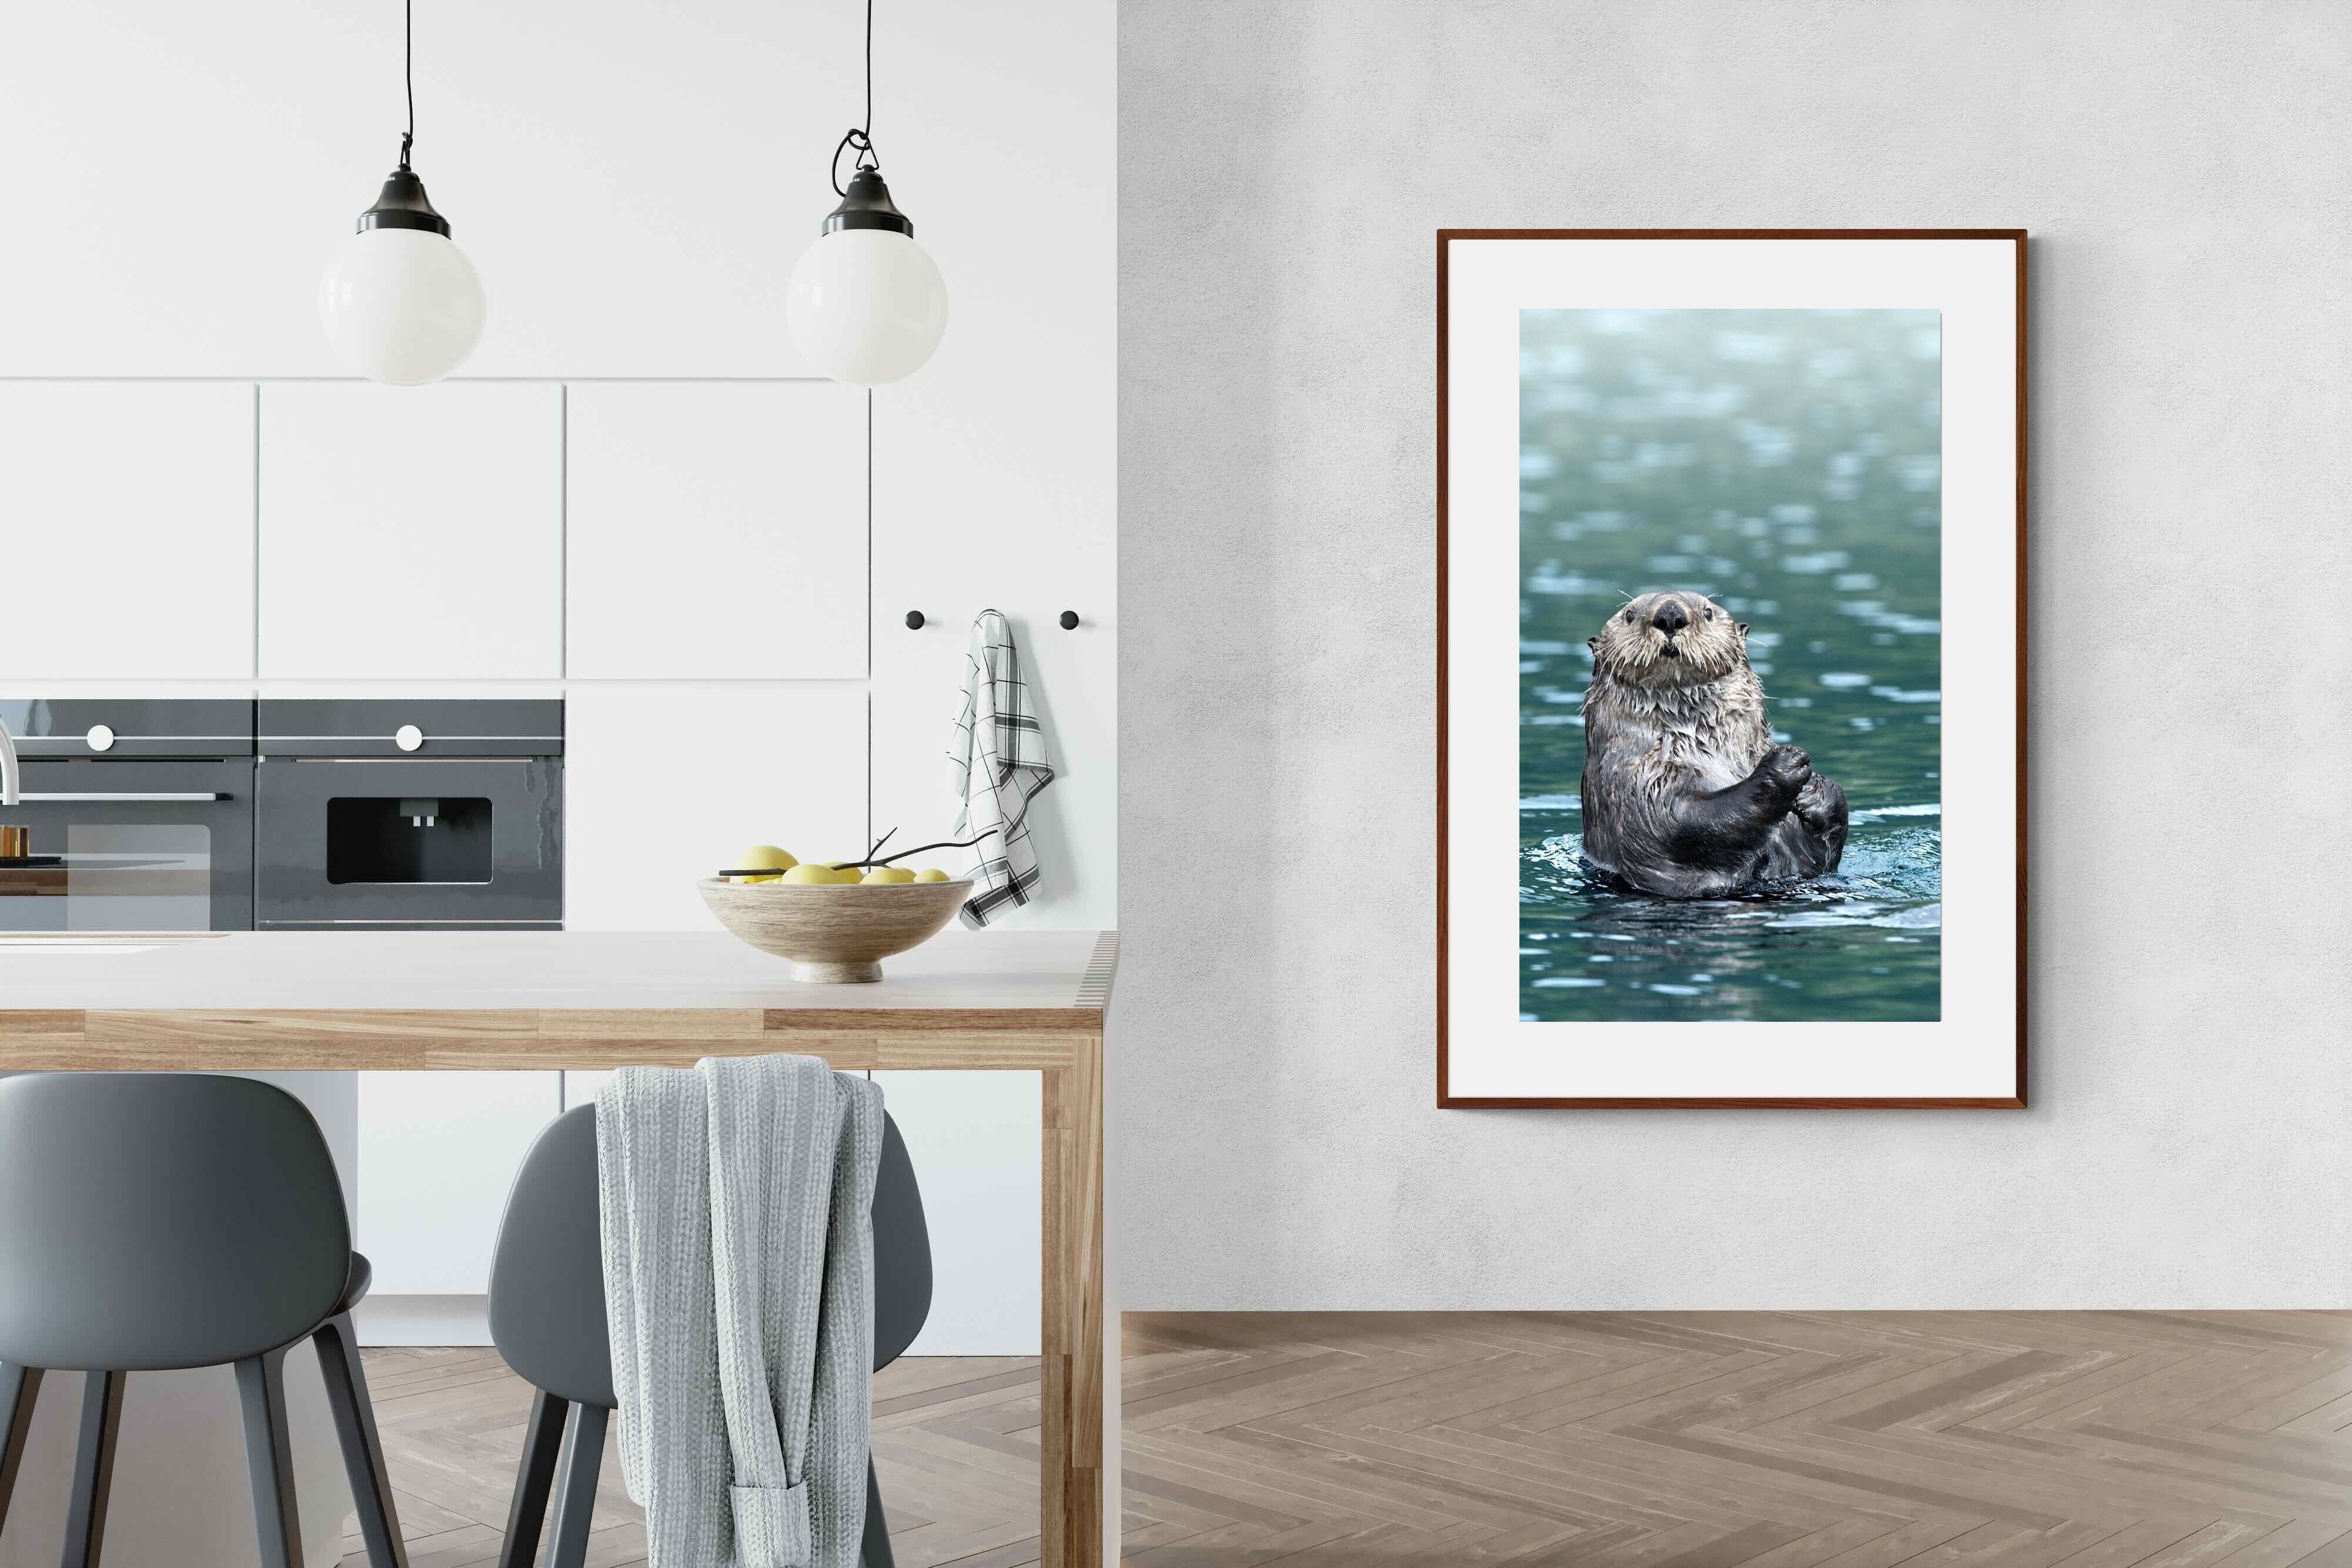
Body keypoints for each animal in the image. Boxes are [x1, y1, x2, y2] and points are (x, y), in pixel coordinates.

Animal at [1578, 590, 1847, 898]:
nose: (1670, 614)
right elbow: (1684, 821)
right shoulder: (1636, 783)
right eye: (1630, 615)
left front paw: (1815, 789)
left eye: (1707, 612)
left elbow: (1822, 855)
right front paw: (1785, 764)